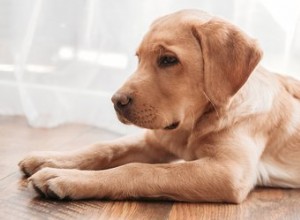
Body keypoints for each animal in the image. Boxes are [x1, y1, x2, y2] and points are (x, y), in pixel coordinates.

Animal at [18, 9, 300, 203]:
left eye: (168, 60)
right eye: (139, 58)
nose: (116, 102)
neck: (195, 123)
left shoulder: (229, 171)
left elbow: (137, 170)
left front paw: (64, 177)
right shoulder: (155, 141)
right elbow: (105, 146)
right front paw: (51, 159)